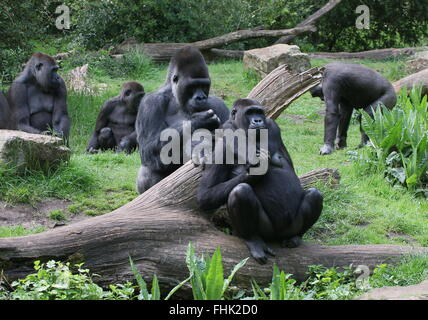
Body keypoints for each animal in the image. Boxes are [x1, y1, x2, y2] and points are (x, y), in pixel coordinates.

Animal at [137, 46, 231, 194]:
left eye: (204, 85)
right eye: (192, 86)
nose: (201, 98)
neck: (175, 96)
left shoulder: (219, 104)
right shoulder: (150, 103)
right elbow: (147, 148)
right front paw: (198, 121)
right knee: (148, 170)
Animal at [197, 99, 320, 264]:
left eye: (259, 112)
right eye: (249, 113)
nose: (258, 120)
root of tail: (277, 236)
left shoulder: (271, 124)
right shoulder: (222, 144)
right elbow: (205, 194)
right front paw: (255, 171)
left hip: (290, 227)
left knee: (315, 194)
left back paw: (295, 237)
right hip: (266, 231)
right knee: (240, 191)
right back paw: (253, 239)